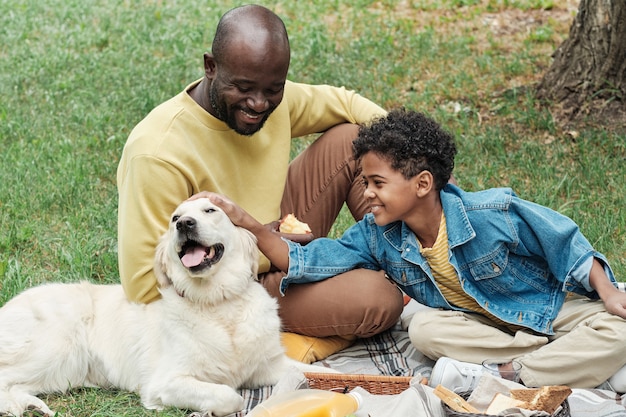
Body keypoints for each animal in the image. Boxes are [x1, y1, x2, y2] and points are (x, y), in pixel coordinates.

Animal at [0, 198, 334, 416]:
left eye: (211, 210)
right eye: (174, 218)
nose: (185, 224)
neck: (217, 303)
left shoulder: (269, 366)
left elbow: (310, 373)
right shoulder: (167, 381)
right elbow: (230, 396)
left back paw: (30, 405)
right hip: (56, 348)